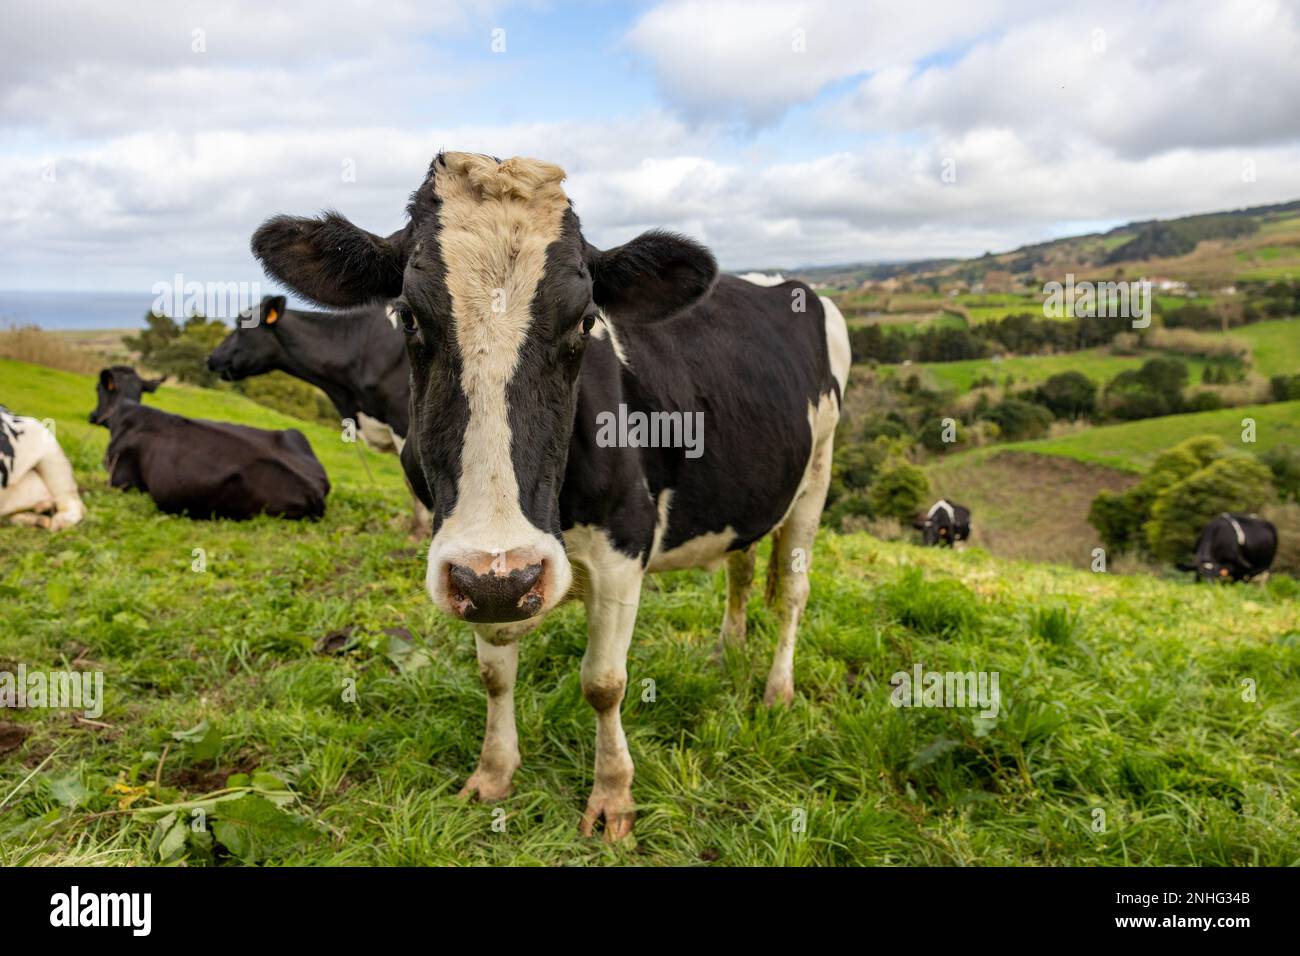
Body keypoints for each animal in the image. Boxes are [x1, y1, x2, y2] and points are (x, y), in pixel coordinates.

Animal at [250, 147, 852, 837]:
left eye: (586, 321)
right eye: (407, 315)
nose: (502, 579)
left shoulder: (623, 545)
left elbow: (604, 682)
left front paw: (613, 796)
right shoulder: (483, 574)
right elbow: (494, 673)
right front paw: (492, 773)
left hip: (817, 474)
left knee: (794, 592)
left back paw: (777, 690)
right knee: (742, 567)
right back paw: (726, 653)